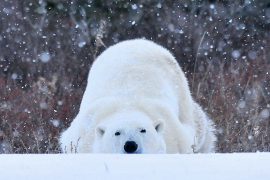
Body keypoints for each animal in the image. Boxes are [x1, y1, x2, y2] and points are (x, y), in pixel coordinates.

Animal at [60, 38, 216, 153]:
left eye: (143, 130)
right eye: (117, 132)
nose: (130, 145)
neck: (127, 105)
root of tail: (137, 41)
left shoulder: (173, 135)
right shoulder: (84, 135)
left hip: (181, 91)